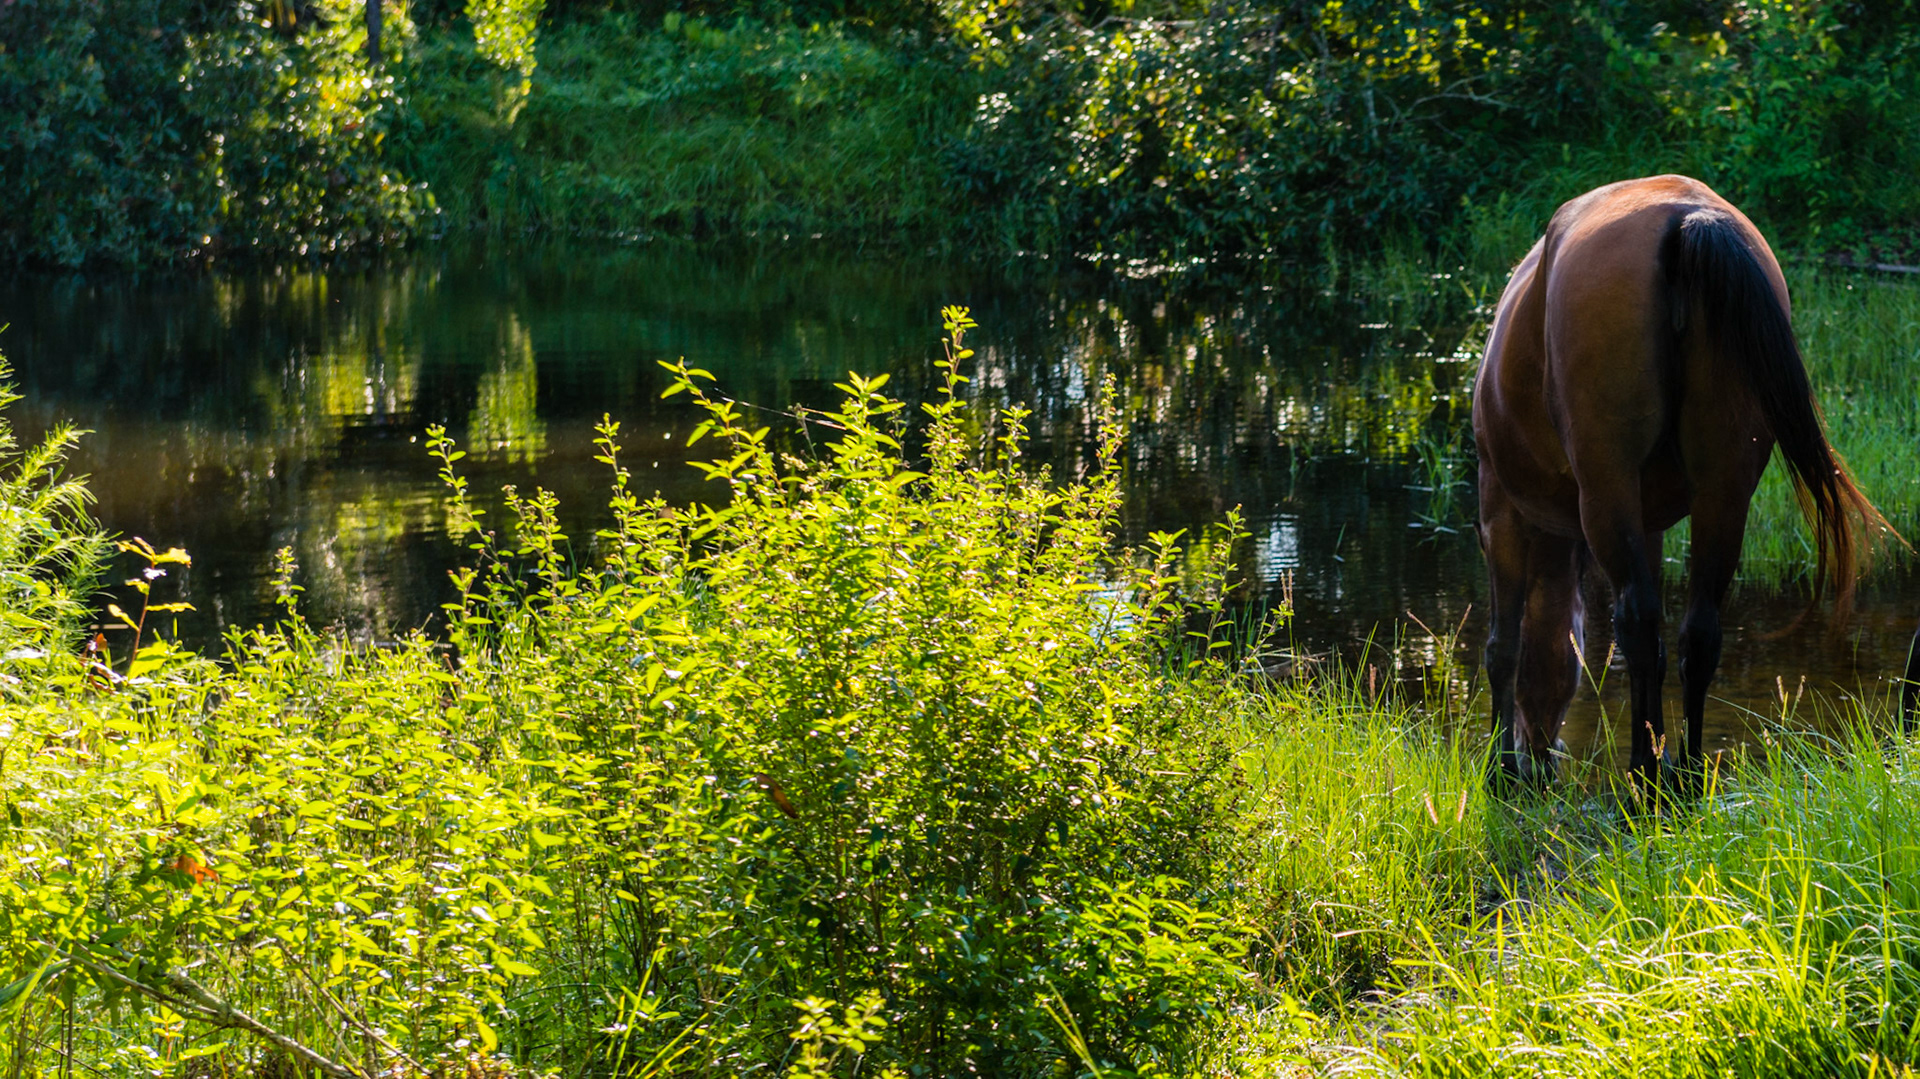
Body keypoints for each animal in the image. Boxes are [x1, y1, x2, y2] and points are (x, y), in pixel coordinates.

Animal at [1473, 174, 1890, 791]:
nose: (1542, 757)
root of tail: (1689, 220)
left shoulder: (1500, 508)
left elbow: (1503, 646)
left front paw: (1501, 771)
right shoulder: (1649, 524)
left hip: (1608, 485)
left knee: (1639, 621)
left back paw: (1643, 776)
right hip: (1724, 489)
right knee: (1699, 631)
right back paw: (1687, 770)